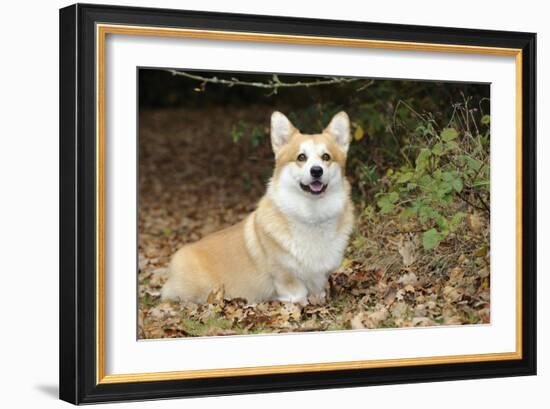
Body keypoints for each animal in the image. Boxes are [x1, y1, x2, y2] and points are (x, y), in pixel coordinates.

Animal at [162, 111, 356, 302]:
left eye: (326, 157)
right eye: (301, 157)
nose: (316, 171)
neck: (312, 214)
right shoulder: (285, 276)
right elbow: (298, 296)